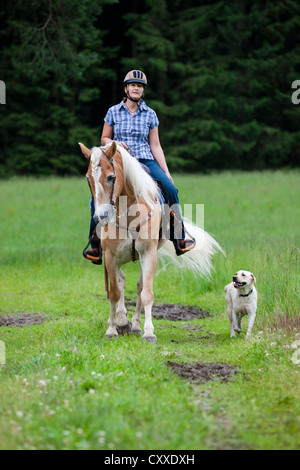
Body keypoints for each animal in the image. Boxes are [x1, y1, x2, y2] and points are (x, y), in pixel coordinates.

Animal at [79, 141, 223, 344]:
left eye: (110, 177)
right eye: (88, 179)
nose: (101, 217)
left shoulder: (148, 253)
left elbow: (146, 293)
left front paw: (148, 332)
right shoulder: (110, 256)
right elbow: (114, 293)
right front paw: (112, 329)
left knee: (139, 286)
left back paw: (135, 326)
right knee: (121, 282)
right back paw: (122, 322)